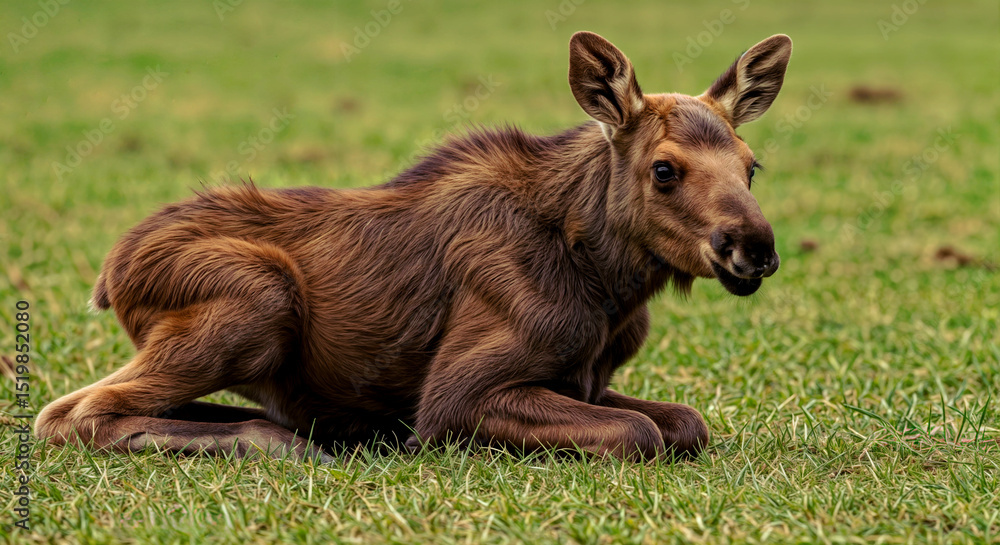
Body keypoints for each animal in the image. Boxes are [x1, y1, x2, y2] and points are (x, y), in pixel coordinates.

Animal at [37, 31, 792, 462]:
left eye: (751, 165)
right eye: (664, 169)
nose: (753, 248)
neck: (608, 284)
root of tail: (110, 275)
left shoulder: (588, 377)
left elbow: (686, 422)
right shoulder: (456, 396)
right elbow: (643, 434)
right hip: (258, 297)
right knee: (68, 413)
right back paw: (280, 441)